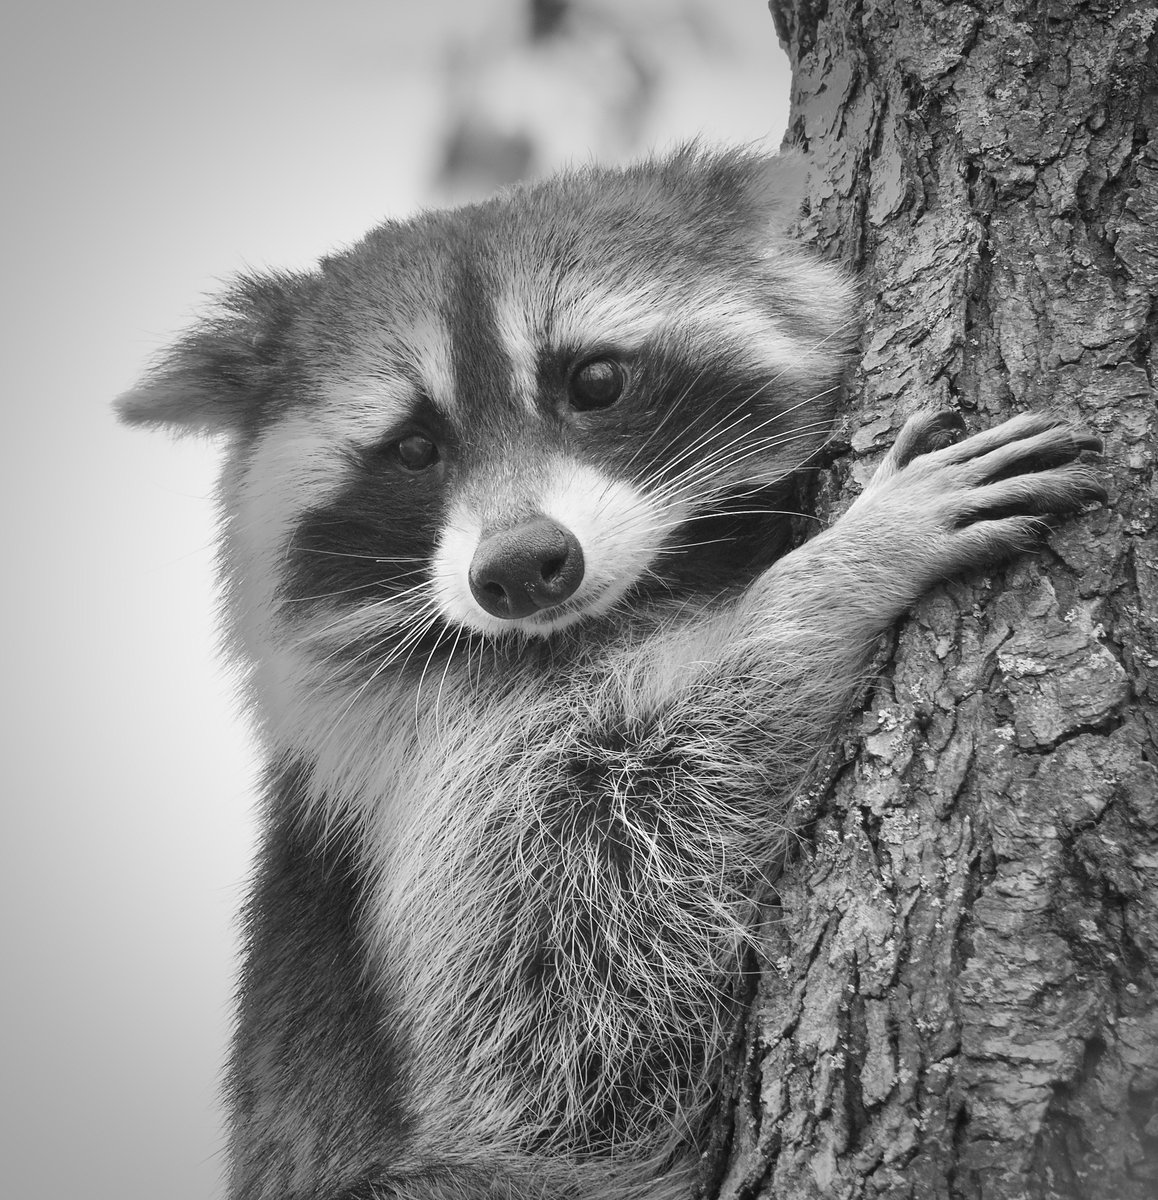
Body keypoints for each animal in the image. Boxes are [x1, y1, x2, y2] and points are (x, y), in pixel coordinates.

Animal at [119, 148, 1104, 1200]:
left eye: (594, 381)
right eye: (415, 448)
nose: (520, 568)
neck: (621, 606)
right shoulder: (433, 772)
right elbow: (580, 1035)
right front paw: (836, 577)